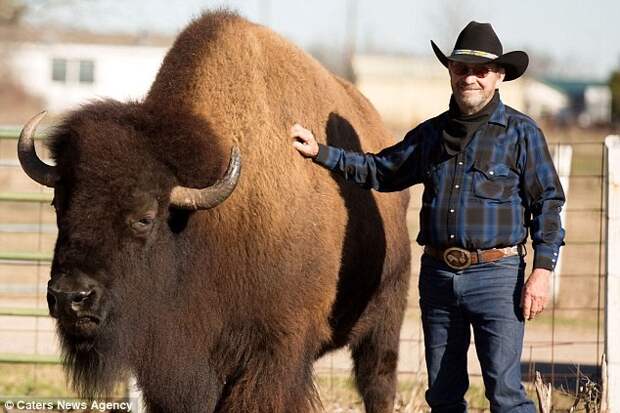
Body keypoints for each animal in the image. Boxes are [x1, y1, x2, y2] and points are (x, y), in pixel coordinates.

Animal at [17, 10, 412, 412]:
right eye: (58, 203)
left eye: (145, 217)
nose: (70, 297)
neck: (203, 223)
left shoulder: (273, 351)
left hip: (385, 319)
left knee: (377, 381)